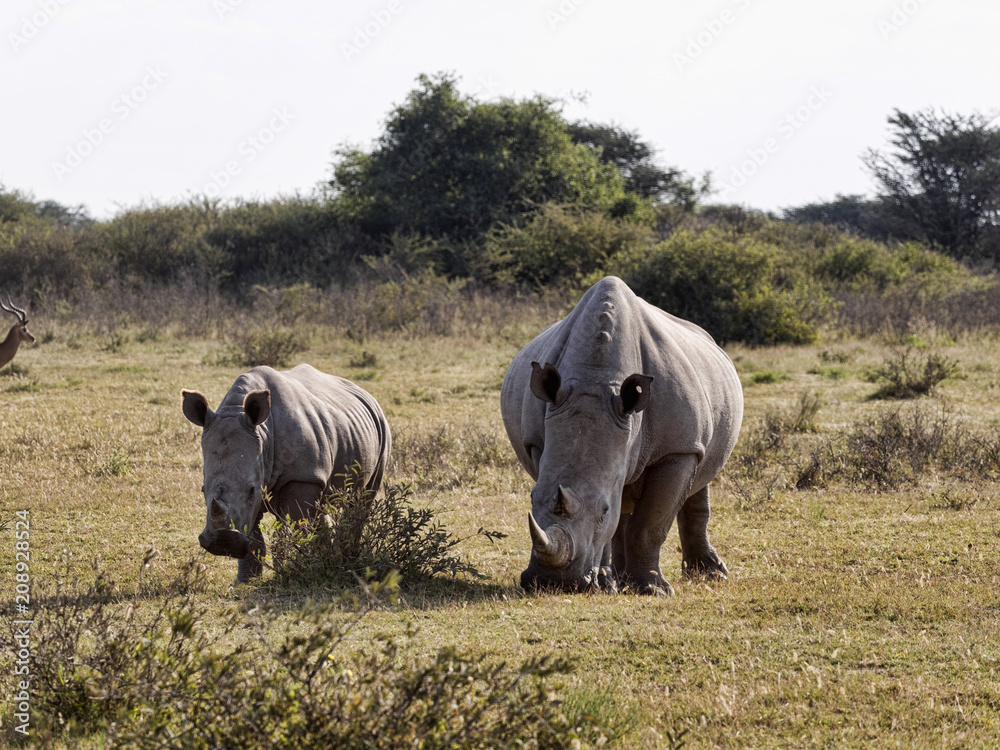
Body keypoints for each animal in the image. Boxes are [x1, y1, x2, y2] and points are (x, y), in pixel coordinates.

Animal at [181, 364, 391, 583]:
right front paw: (245, 582)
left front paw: (300, 570)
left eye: (251, 490)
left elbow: (298, 525)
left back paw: (347, 560)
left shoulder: (302, 476)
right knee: (321, 504)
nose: (222, 543)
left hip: (382, 428)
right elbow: (254, 536)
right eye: (203, 490)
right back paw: (331, 559)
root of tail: (366, 394)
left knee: (363, 500)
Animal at [500, 276, 743, 595]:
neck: (597, 377)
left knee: (699, 478)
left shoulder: (678, 448)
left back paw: (710, 576)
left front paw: (653, 590)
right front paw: (606, 584)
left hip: (696, 430)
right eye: (531, 497)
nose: (554, 582)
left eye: (603, 510)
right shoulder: (539, 442)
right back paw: (616, 580)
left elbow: (650, 525)